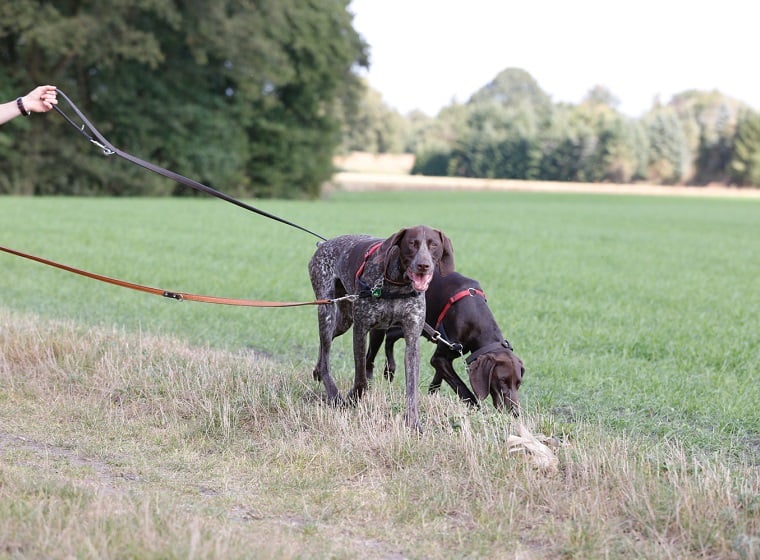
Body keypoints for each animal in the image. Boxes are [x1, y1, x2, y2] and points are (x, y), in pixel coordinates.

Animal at [308, 225, 454, 430]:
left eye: (434, 245)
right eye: (412, 243)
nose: (423, 265)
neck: (398, 284)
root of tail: (324, 244)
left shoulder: (412, 338)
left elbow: (412, 388)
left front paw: (413, 422)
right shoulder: (361, 329)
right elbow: (361, 377)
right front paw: (353, 399)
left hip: (344, 319)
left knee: (324, 344)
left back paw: (317, 371)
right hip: (326, 308)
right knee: (326, 350)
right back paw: (334, 393)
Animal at [366, 270, 524, 414]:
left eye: (518, 383)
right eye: (501, 380)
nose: (516, 413)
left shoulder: (445, 355)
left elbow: (437, 382)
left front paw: (431, 400)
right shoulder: (440, 358)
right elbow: (463, 389)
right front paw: (478, 413)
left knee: (390, 336)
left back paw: (390, 369)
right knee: (370, 356)